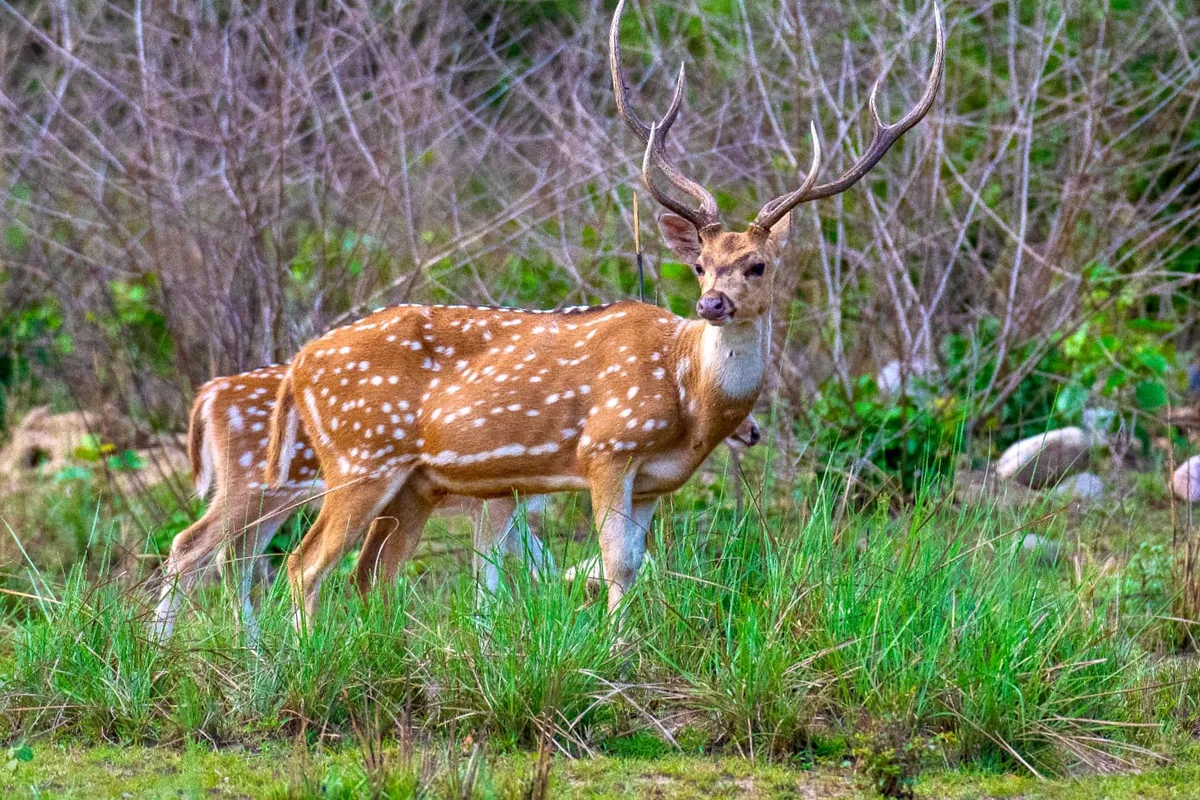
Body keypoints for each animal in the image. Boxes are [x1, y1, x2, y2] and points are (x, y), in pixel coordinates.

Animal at [265, 0, 942, 624]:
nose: (712, 303)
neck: (689, 399)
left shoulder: (653, 480)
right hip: (359, 456)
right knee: (305, 564)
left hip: (414, 480)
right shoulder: (608, 446)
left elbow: (636, 565)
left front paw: (625, 640)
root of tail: (298, 366)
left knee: (369, 573)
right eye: (701, 264)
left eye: (757, 265)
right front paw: (614, 651)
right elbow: (614, 561)